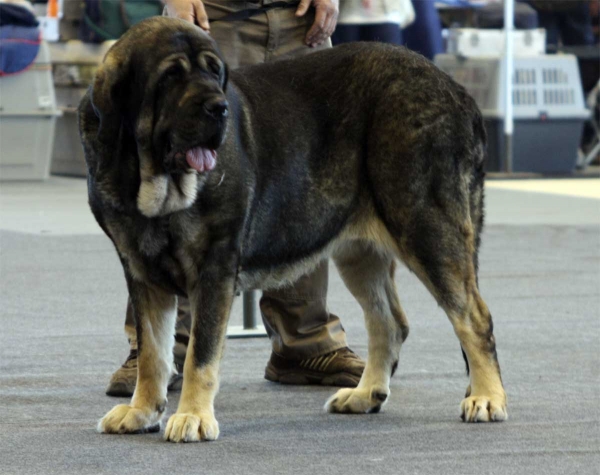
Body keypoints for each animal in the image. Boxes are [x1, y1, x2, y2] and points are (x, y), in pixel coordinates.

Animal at [79, 17, 506, 442]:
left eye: (214, 72)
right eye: (170, 76)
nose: (219, 108)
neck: (150, 178)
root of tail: (456, 91)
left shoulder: (214, 268)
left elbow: (200, 354)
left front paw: (193, 417)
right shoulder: (140, 271)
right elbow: (152, 353)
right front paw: (141, 411)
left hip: (426, 228)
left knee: (474, 317)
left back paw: (486, 397)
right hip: (359, 252)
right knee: (389, 323)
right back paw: (366, 394)